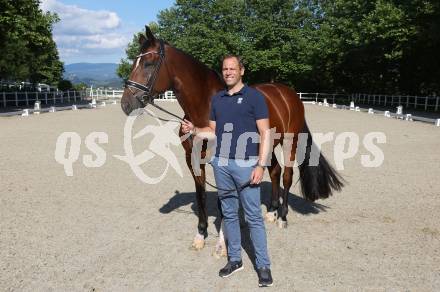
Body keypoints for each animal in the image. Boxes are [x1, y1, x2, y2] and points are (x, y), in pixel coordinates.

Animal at [120, 25, 344, 251]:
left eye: (148, 63)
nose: (126, 103)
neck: (205, 107)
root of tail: (288, 94)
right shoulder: (193, 159)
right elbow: (201, 192)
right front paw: (201, 233)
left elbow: (223, 197)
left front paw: (223, 238)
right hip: (268, 145)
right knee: (275, 171)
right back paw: (271, 212)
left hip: (291, 140)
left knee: (287, 176)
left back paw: (282, 217)